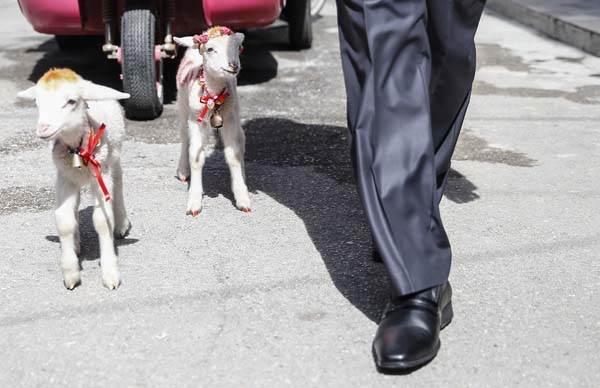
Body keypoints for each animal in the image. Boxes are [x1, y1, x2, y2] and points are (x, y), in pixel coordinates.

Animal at [17, 68, 131, 290]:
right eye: (37, 102)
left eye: (71, 101)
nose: (43, 129)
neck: (78, 148)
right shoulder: (64, 178)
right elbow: (64, 220)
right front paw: (70, 271)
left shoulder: (100, 175)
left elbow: (102, 221)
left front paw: (110, 272)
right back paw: (76, 243)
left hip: (113, 157)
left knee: (119, 181)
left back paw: (122, 223)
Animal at [173, 26, 251, 215]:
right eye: (210, 49)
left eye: (238, 47)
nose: (233, 65)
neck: (213, 95)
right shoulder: (196, 120)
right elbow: (195, 156)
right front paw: (194, 201)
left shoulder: (229, 118)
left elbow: (233, 154)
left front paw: (242, 196)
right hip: (183, 104)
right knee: (184, 136)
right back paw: (183, 170)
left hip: (235, 110)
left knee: (241, 138)